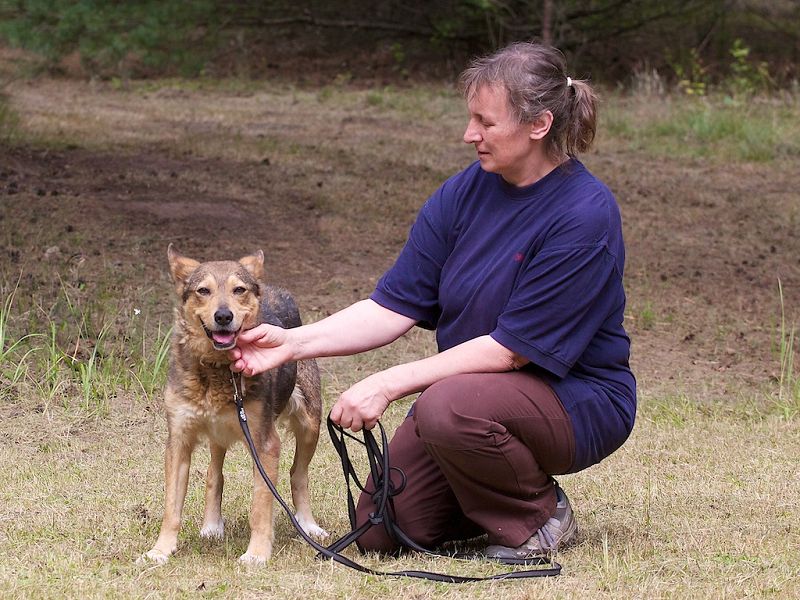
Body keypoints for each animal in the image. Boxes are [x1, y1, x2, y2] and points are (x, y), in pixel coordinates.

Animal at [141, 244, 327, 565]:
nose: (224, 316)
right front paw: (161, 550)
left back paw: (308, 525)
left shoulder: (265, 444)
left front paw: (257, 554)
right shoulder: (178, 441)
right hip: (219, 434)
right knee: (215, 474)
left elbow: (260, 507)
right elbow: (172, 508)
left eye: (238, 289)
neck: (217, 369)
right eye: (203, 290)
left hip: (309, 425)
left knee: (298, 474)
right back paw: (212, 525)